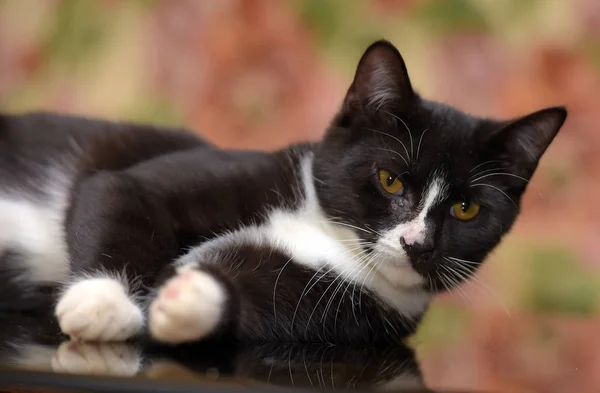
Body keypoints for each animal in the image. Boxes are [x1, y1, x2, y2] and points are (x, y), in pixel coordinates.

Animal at [0, 39, 564, 344]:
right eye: (390, 180)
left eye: (466, 208)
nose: (418, 244)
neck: (324, 231)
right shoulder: (219, 174)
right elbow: (119, 193)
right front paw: (103, 301)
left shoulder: (346, 307)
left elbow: (252, 305)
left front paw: (189, 298)